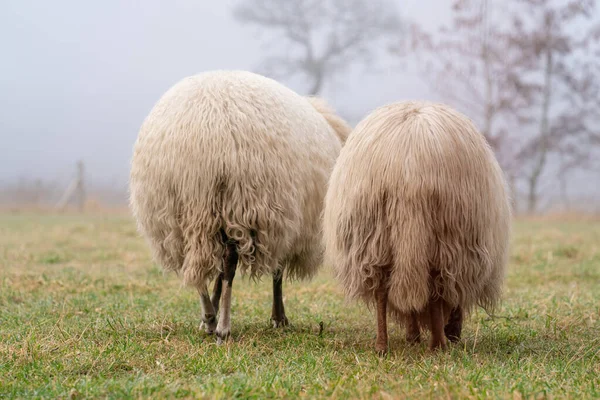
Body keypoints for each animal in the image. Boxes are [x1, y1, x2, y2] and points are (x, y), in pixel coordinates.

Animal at [129, 70, 350, 342]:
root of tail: (201, 139)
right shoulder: (281, 221)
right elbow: (276, 272)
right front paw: (279, 317)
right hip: (240, 202)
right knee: (228, 263)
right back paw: (223, 326)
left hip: (179, 210)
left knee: (196, 262)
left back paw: (209, 316)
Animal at [324, 101, 510, 354]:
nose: (455, 335)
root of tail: (409, 172)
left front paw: (412, 335)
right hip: (447, 236)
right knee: (434, 287)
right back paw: (438, 344)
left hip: (374, 235)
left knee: (383, 289)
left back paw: (382, 345)